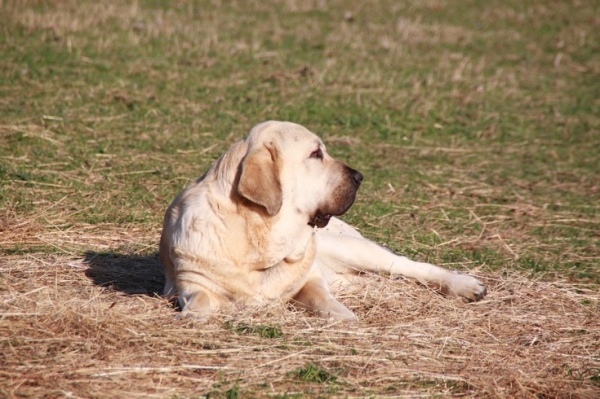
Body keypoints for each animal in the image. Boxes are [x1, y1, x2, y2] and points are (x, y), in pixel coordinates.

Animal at [159, 119, 488, 322]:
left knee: (408, 266)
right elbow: (200, 300)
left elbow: (322, 299)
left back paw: (464, 285)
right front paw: (192, 317)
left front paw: (345, 317)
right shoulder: (191, 282)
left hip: (354, 249)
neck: (260, 237)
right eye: (316, 154)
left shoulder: (311, 280)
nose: (359, 176)